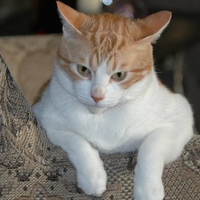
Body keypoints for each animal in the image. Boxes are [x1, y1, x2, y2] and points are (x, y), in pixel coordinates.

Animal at [33, 1, 194, 200]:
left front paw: (148, 189)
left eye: (119, 75)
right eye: (83, 70)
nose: (97, 95)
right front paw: (92, 176)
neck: (103, 117)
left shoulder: (181, 116)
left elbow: (152, 146)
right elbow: (75, 140)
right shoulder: (45, 117)